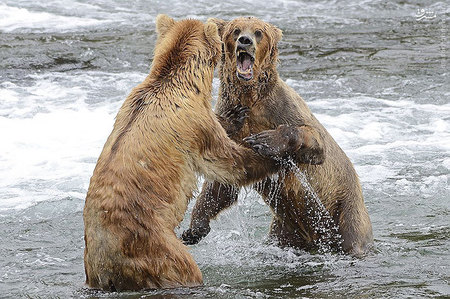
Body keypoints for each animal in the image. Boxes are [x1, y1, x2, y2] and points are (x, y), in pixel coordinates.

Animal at [81, 14, 278, 292]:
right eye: (222, 30)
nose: (226, 25)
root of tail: (106, 258)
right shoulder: (195, 127)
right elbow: (229, 163)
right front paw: (282, 150)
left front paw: (233, 114)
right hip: (155, 245)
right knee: (183, 268)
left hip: (96, 265)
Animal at [181, 16, 374, 256]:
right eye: (236, 30)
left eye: (258, 32)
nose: (245, 41)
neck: (250, 98)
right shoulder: (228, 126)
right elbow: (223, 183)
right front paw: (194, 229)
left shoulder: (282, 108)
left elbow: (314, 141)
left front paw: (265, 141)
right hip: (284, 230)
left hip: (345, 211)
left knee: (351, 234)